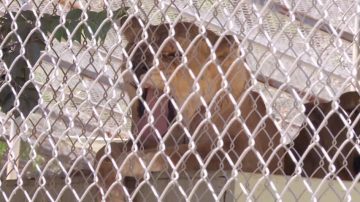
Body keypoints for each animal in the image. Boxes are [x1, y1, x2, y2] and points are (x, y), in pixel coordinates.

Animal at [95, 16, 284, 201]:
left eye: (174, 54)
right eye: (136, 49)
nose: (138, 66)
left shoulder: (246, 153)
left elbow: (179, 154)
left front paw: (127, 164)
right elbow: (104, 150)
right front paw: (111, 188)